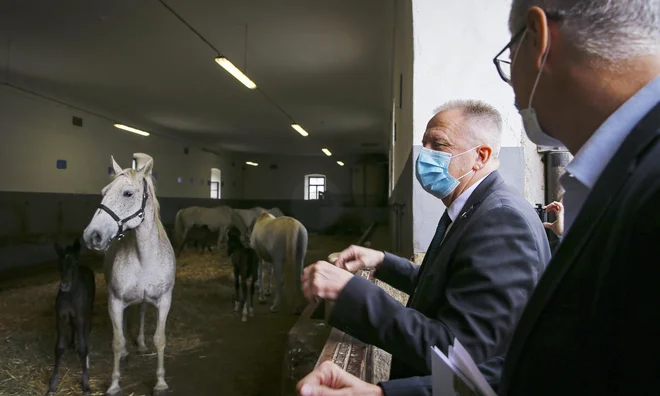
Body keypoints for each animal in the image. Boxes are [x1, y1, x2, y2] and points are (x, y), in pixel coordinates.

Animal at [47, 238, 95, 396]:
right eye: (59, 263)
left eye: (74, 263)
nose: (65, 285)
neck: (70, 296)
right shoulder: (61, 318)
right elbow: (59, 348)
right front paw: (52, 386)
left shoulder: (80, 317)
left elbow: (83, 349)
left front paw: (86, 385)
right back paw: (72, 343)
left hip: (88, 311)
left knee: (87, 330)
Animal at [83, 155, 173, 396]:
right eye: (104, 192)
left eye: (128, 193)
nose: (92, 235)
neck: (144, 257)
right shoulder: (115, 301)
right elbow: (116, 340)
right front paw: (114, 384)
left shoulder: (164, 300)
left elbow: (160, 339)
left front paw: (160, 382)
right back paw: (125, 352)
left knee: (140, 313)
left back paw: (140, 344)